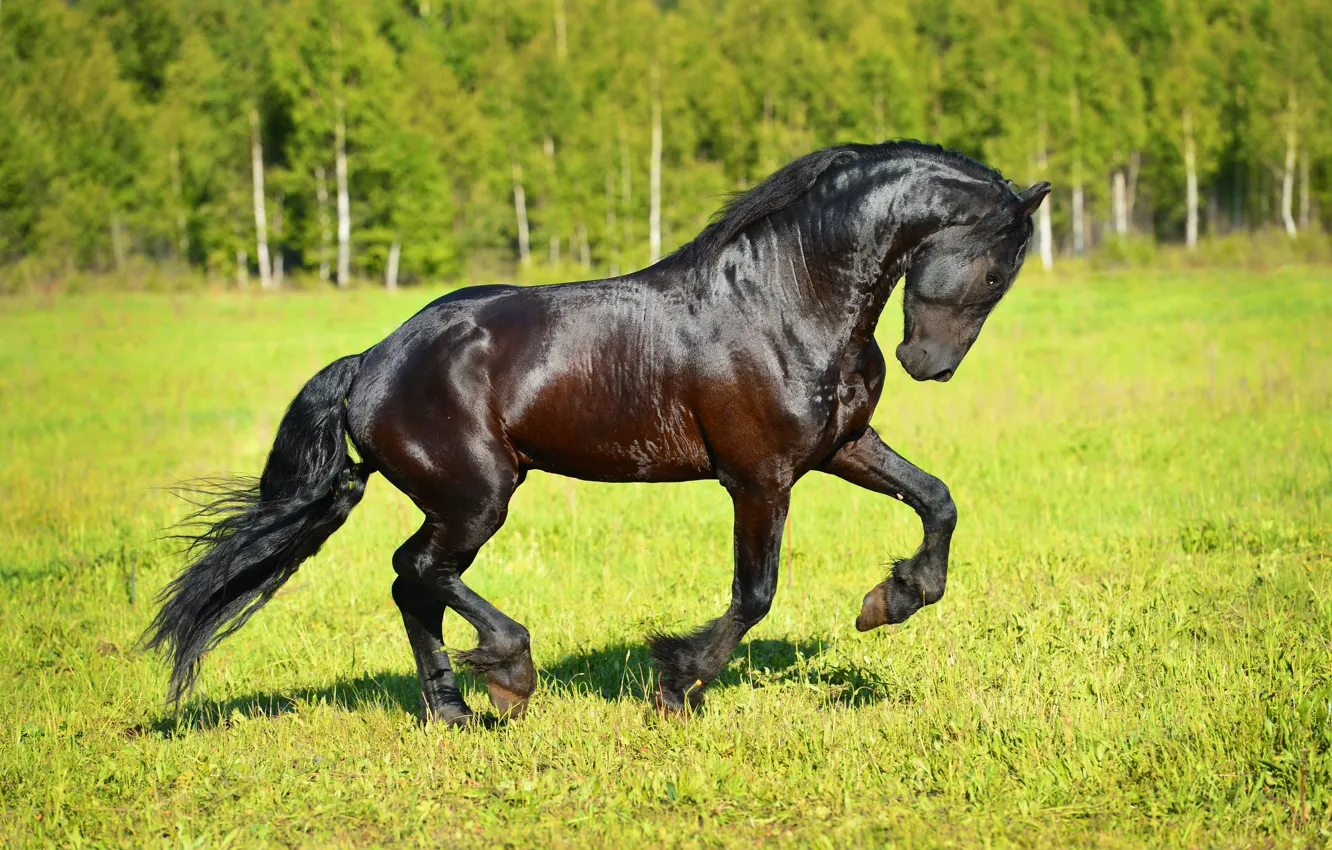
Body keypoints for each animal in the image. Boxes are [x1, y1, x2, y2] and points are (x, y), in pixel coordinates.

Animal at [145, 140, 1049, 724]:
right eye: (996, 267)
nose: (927, 363)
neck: (786, 299)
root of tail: (371, 360)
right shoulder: (758, 477)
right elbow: (754, 593)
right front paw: (676, 683)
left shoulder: (840, 448)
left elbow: (938, 501)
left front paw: (889, 600)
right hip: (477, 497)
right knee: (418, 572)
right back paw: (508, 672)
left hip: (466, 499)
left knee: (415, 584)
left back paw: (452, 711)